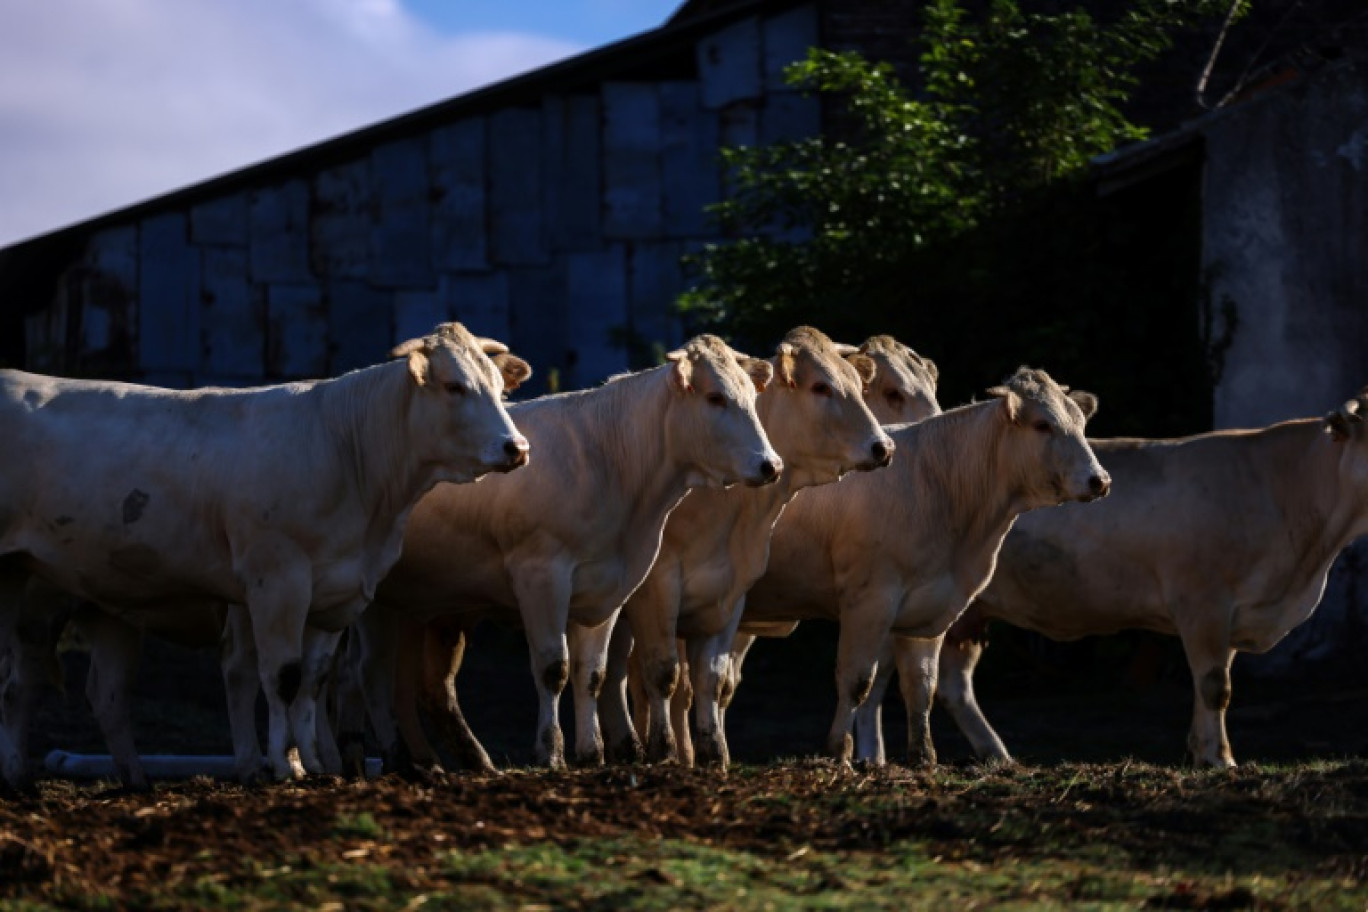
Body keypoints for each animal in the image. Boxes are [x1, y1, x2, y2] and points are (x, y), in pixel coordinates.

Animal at [0, 321, 528, 787]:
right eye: (454, 386)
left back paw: (131, 779)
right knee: (19, 684)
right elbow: (281, 676)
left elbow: (313, 679)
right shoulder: (278, 579)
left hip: (107, 603)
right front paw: (282, 766)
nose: (517, 447)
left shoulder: (336, 593)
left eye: (499, 388)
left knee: (100, 692)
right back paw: (17, 773)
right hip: (32, 593)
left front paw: (314, 763)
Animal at [339, 334, 782, 771]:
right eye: (715, 397)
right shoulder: (541, 575)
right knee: (369, 674)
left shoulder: (607, 587)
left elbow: (592, 673)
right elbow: (554, 668)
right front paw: (550, 752)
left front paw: (591, 751)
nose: (770, 465)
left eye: (750, 395)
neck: (611, 463)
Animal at [733, 369, 1105, 765]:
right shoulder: (869, 601)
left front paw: (923, 756)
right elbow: (857, 680)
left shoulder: (930, 608)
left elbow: (921, 685)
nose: (1100, 480)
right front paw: (838, 751)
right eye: (1042, 424)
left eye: (1080, 423)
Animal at [859, 388, 1368, 765]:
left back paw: (997, 756)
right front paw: (1219, 759)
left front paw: (1200, 753)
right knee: (881, 675)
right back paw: (872, 757)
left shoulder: (1234, 614)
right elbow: (1214, 686)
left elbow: (1213, 685)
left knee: (952, 685)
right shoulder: (1203, 602)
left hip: (967, 613)